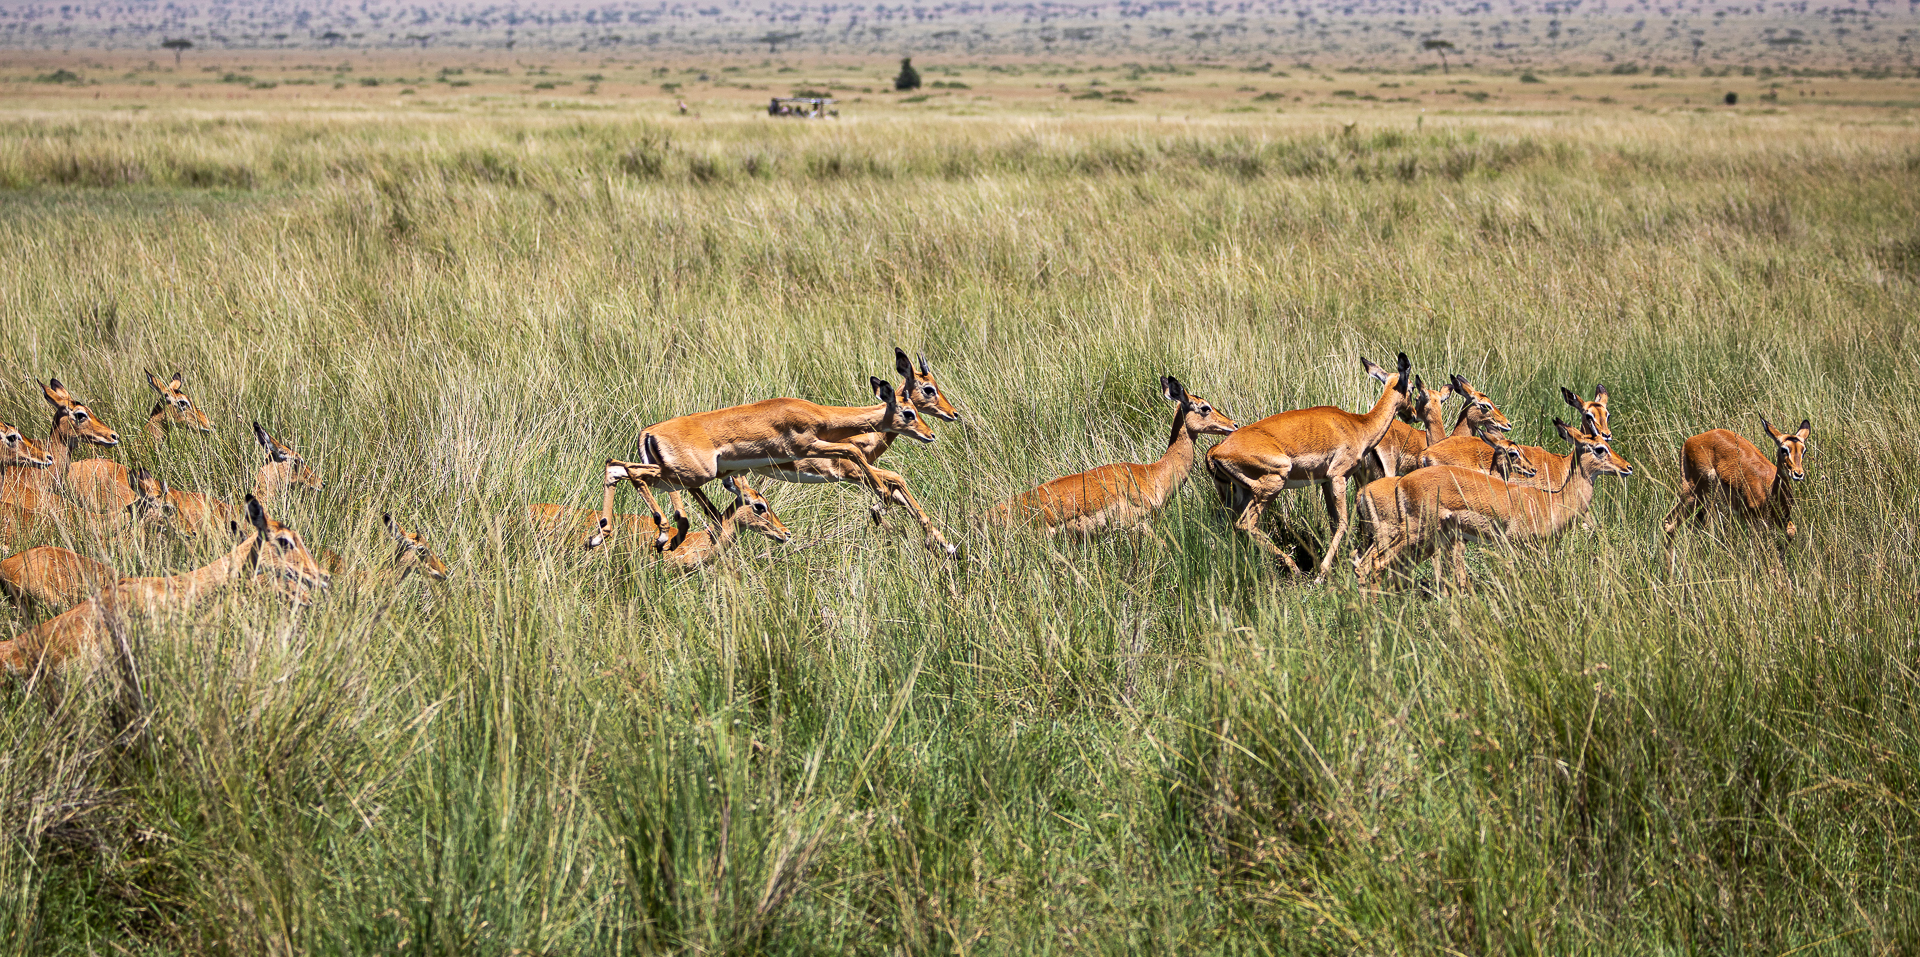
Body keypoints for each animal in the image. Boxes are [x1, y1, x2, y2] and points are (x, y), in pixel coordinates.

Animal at [595, 376, 936, 552]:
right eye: (908, 412)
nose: (930, 434)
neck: (816, 414)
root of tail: (649, 432)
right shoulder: (808, 447)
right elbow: (855, 452)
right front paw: (880, 500)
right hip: (686, 475)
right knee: (631, 472)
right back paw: (663, 534)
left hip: (676, 477)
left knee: (615, 467)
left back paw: (600, 535)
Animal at [1205, 353, 1412, 581]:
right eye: (1412, 387)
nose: (1412, 414)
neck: (1359, 425)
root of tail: (1217, 451)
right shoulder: (1338, 477)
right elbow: (1343, 523)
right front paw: (1321, 573)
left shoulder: (1325, 482)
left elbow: (1333, 523)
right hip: (1272, 485)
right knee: (1245, 523)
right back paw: (1294, 568)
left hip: (1240, 493)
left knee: (1222, 524)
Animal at [1662, 417, 1810, 544]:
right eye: (1784, 449)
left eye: (1804, 450)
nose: (1798, 474)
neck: (1769, 488)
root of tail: (1690, 440)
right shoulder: (1752, 520)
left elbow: (1791, 532)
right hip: (1693, 494)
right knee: (1670, 523)